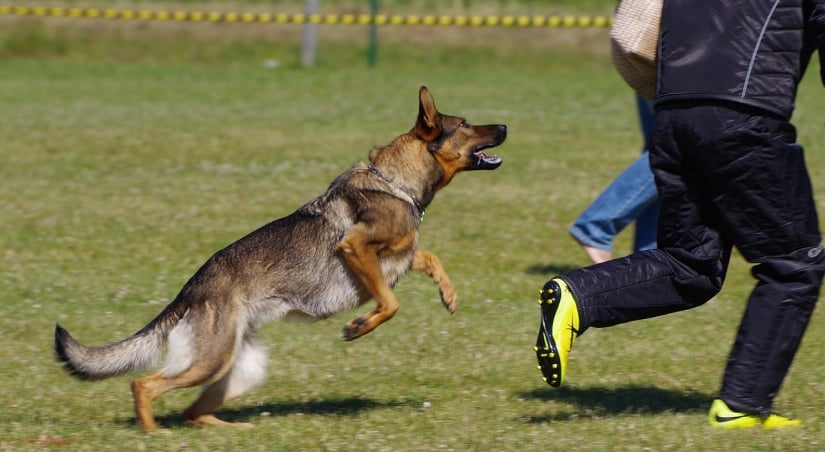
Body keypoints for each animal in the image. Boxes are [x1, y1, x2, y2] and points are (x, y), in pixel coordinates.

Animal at [54, 85, 506, 430]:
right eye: (464, 124)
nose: (504, 125)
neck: (396, 182)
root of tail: (191, 289)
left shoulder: (397, 257)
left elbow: (428, 258)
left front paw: (448, 295)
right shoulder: (356, 248)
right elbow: (390, 303)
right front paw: (358, 327)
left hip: (239, 369)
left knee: (193, 412)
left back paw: (233, 431)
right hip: (210, 360)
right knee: (144, 386)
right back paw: (153, 434)